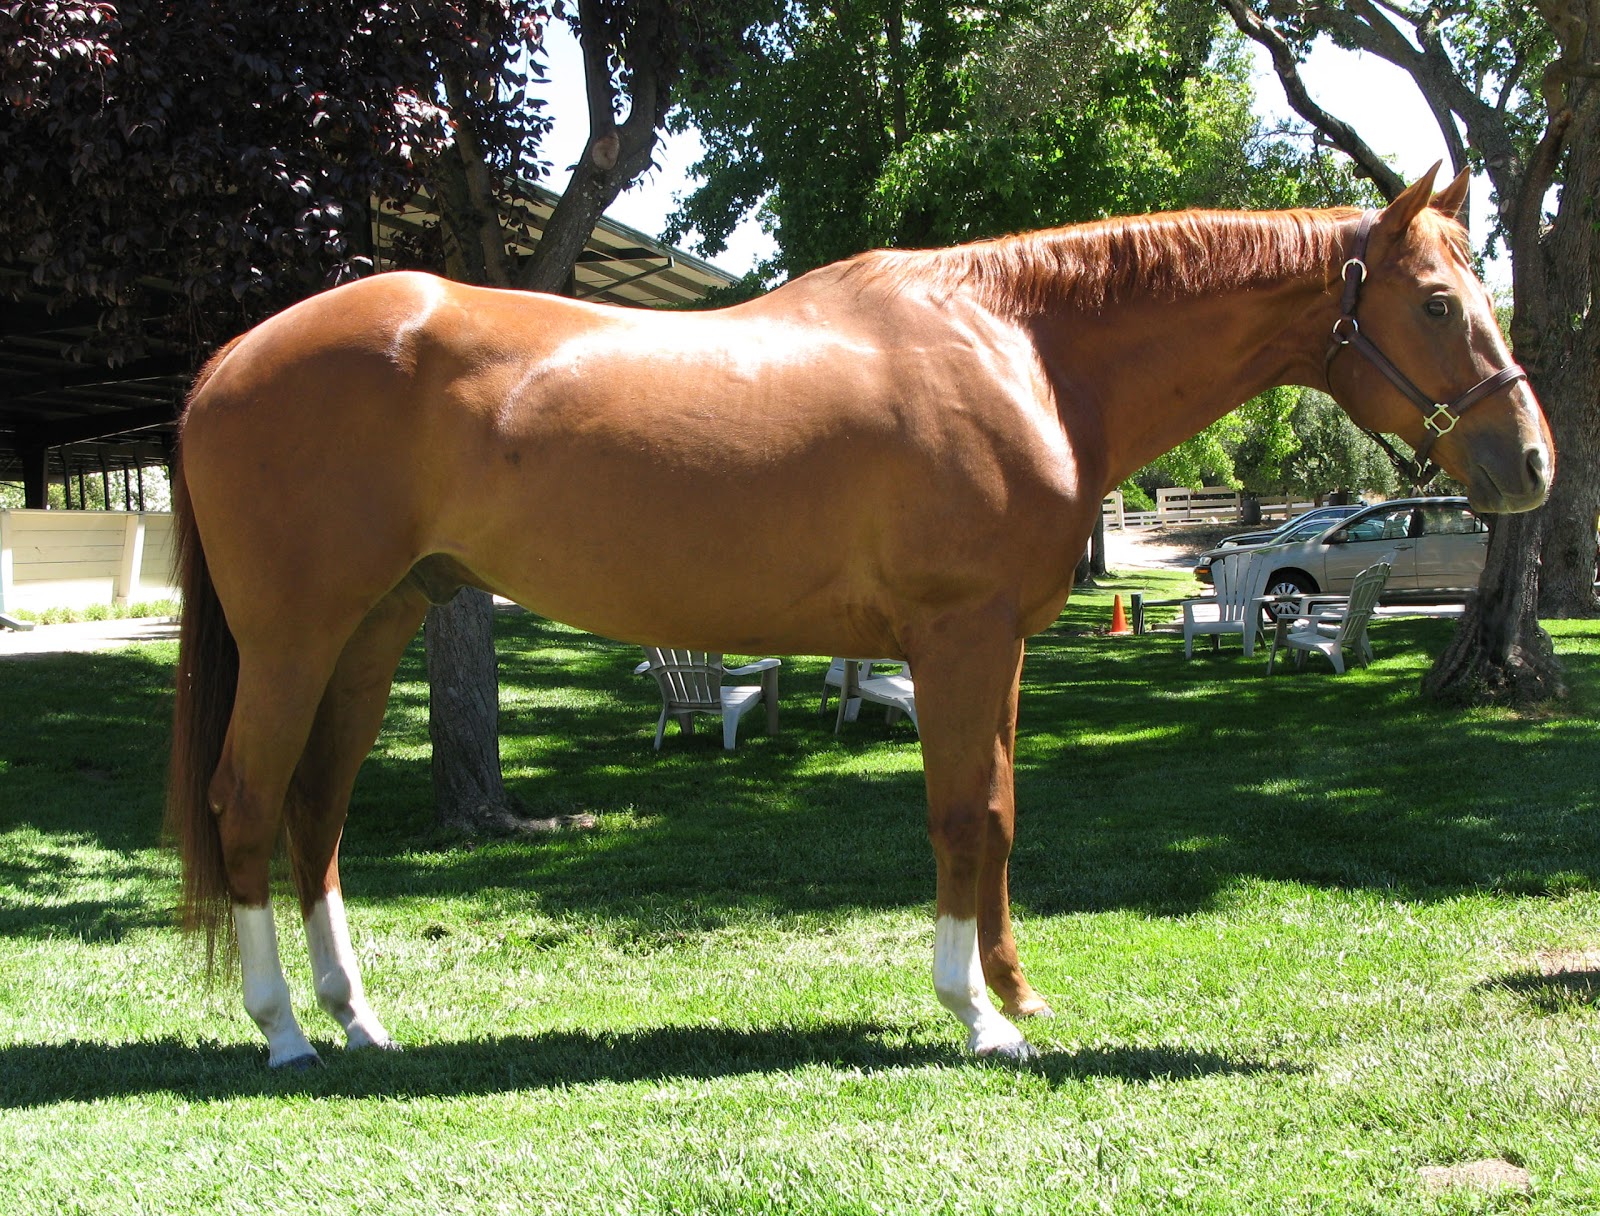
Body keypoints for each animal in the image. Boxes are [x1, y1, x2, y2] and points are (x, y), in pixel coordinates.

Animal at [168, 165, 1552, 1067]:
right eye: (1437, 302)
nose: (1530, 461)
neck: (1019, 345)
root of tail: (225, 363)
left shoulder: (1000, 647)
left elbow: (1001, 814)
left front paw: (1014, 993)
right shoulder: (958, 636)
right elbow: (960, 814)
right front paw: (974, 1015)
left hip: (376, 626)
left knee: (316, 815)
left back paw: (358, 1018)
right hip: (297, 637)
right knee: (247, 803)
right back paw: (283, 1032)